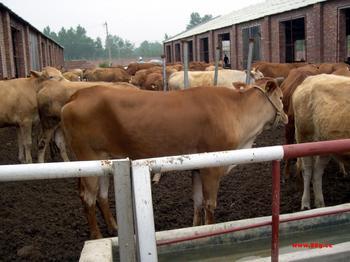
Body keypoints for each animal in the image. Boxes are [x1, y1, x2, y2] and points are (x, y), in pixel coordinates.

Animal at [62, 79, 288, 238]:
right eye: (281, 97)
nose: (286, 117)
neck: (235, 111)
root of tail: (78, 94)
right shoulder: (211, 169)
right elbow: (210, 205)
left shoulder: (197, 168)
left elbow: (197, 202)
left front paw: (194, 231)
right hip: (88, 157)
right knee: (88, 198)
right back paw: (97, 235)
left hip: (103, 161)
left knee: (101, 195)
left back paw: (114, 227)